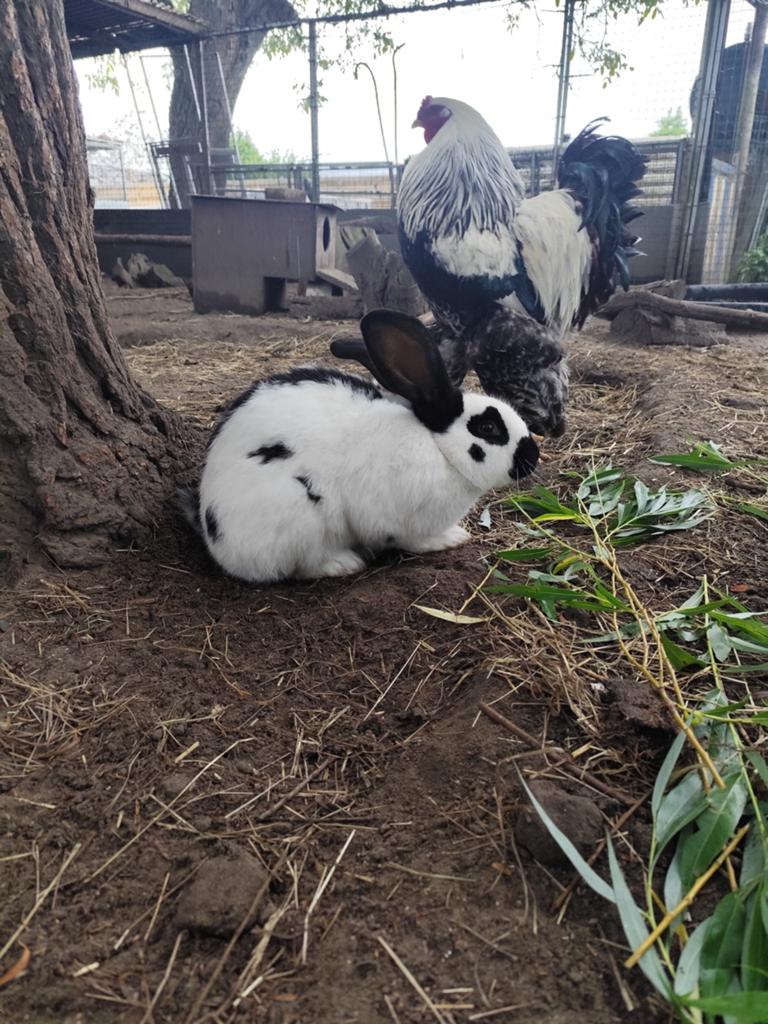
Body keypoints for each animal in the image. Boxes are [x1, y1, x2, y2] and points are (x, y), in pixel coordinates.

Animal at [180, 309, 539, 583]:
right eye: (489, 428)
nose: (532, 457)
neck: (438, 448)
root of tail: (214, 535)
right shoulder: (397, 518)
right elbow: (414, 540)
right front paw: (453, 538)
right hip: (298, 514)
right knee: (297, 566)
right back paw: (342, 563)